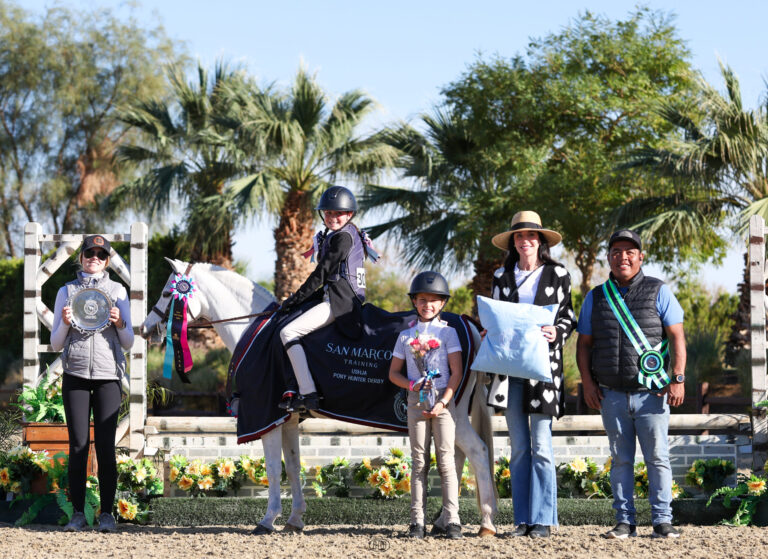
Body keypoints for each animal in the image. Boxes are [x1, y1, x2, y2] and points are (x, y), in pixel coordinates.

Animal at [142, 260, 498, 536]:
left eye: (167, 293)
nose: (147, 329)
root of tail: (468, 324)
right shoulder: (287, 419)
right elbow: (293, 466)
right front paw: (295, 520)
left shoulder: (266, 418)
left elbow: (274, 470)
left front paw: (267, 520)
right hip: (448, 415)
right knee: (458, 457)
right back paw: (444, 521)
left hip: (448, 412)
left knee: (478, 453)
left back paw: (485, 524)